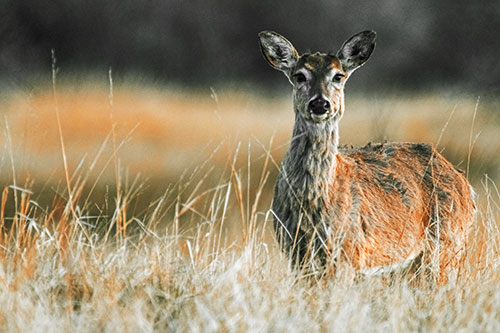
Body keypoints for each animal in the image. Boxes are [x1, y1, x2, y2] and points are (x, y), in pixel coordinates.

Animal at [258, 29, 476, 282]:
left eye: (338, 76)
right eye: (300, 76)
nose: (320, 103)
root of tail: (466, 185)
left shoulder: (349, 252)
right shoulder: (295, 252)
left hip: (447, 245)